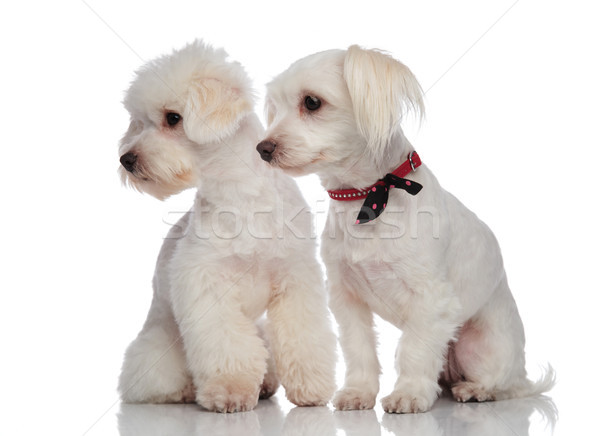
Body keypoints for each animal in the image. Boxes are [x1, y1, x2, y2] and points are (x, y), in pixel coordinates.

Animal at [115, 40, 336, 412]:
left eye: (172, 118)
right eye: (139, 123)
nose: (126, 159)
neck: (241, 196)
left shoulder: (296, 278)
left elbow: (303, 337)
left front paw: (312, 387)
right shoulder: (206, 283)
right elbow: (226, 345)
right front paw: (230, 390)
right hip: (159, 345)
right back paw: (186, 391)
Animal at [256, 46, 552, 414]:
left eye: (312, 102)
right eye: (275, 107)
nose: (263, 148)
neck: (368, 197)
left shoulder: (430, 300)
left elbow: (414, 351)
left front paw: (409, 394)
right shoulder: (346, 298)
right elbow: (359, 349)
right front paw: (359, 391)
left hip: (480, 345)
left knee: (500, 384)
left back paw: (476, 390)